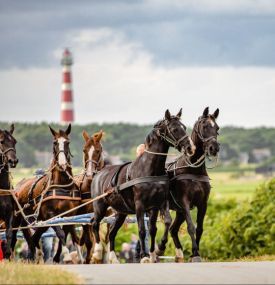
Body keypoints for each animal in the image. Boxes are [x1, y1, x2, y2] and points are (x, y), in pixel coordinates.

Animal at [12, 123, 81, 260]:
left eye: (67, 142)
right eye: (55, 142)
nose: (62, 164)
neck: (62, 186)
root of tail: (17, 187)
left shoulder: (69, 215)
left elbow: (70, 235)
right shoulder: (49, 214)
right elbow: (61, 234)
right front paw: (65, 255)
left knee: (33, 239)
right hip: (20, 218)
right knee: (15, 237)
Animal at [91, 108, 195, 262]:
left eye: (184, 127)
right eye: (174, 129)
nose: (190, 148)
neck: (149, 170)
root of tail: (99, 173)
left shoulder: (158, 204)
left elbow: (160, 226)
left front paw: (157, 250)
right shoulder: (139, 205)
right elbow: (141, 230)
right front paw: (145, 256)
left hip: (121, 212)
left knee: (112, 232)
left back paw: (113, 258)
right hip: (99, 206)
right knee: (94, 223)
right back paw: (97, 253)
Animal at [157, 107, 220, 262]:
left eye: (217, 128)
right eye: (205, 126)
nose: (214, 148)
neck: (193, 170)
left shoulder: (203, 203)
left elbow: (200, 228)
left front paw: (195, 253)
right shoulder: (184, 202)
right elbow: (191, 226)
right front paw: (195, 253)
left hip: (179, 211)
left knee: (173, 229)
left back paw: (179, 253)